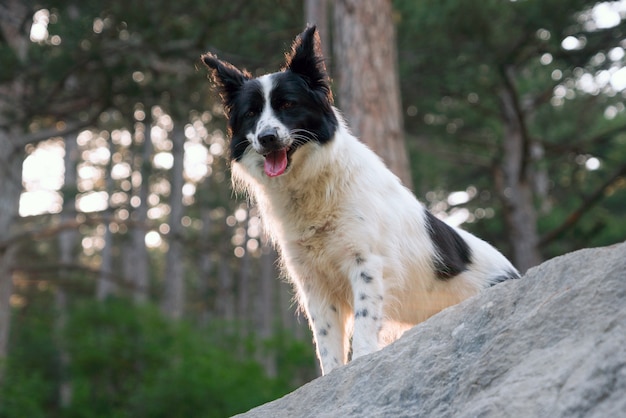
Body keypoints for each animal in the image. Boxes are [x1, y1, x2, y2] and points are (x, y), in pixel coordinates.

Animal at [202, 27, 520, 376]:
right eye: (251, 114)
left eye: (288, 104)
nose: (267, 138)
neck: (314, 184)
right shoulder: (314, 282)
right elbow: (326, 342)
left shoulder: (366, 264)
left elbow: (365, 327)